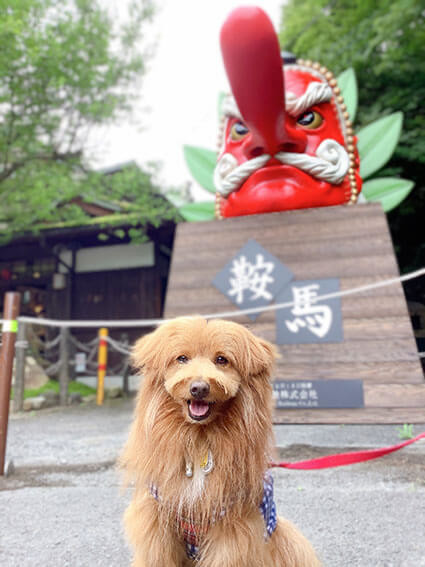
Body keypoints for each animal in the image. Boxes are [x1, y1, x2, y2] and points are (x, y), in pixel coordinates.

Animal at [119, 318, 318, 564]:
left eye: (222, 359)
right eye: (182, 358)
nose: (199, 388)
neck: (199, 441)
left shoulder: (232, 532)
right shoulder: (157, 525)